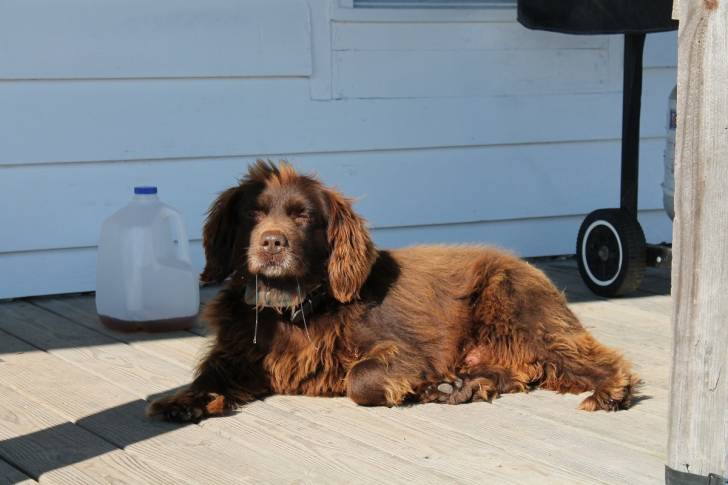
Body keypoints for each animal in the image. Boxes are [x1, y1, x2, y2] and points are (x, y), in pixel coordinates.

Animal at [148, 161, 636, 422]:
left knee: (591, 358)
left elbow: (358, 380)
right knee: (515, 371)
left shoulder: (405, 350)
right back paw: (462, 386)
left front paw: (416, 387)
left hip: (518, 307)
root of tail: (528, 266)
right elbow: (208, 375)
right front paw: (182, 402)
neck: (290, 306)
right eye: (253, 213)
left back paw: (612, 392)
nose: (271, 243)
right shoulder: (238, 352)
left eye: (303, 216)